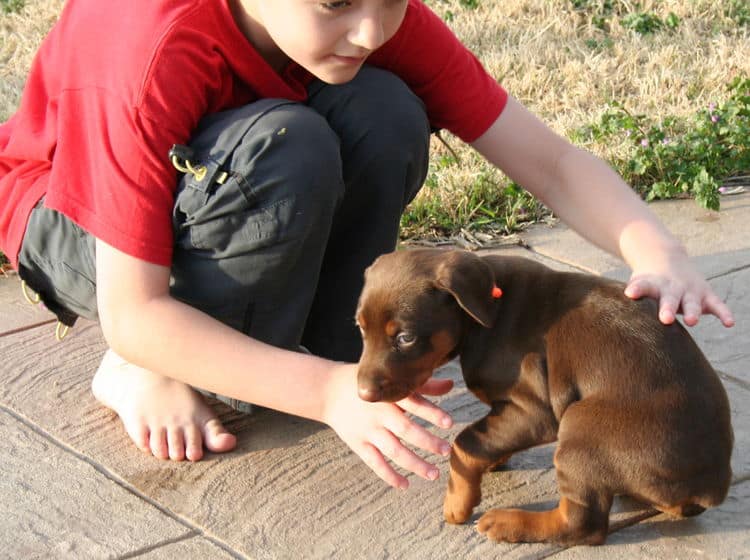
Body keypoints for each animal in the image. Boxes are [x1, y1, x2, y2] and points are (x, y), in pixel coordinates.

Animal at [356, 250, 736, 548]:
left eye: (405, 337)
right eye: (360, 327)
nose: (363, 394)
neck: (485, 313)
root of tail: (712, 483)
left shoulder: (532, 409)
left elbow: (465, 442)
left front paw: (458, 501)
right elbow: (487, 439)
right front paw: (492, 461)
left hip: (582, 429)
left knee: (582, 525)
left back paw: (508, 523)